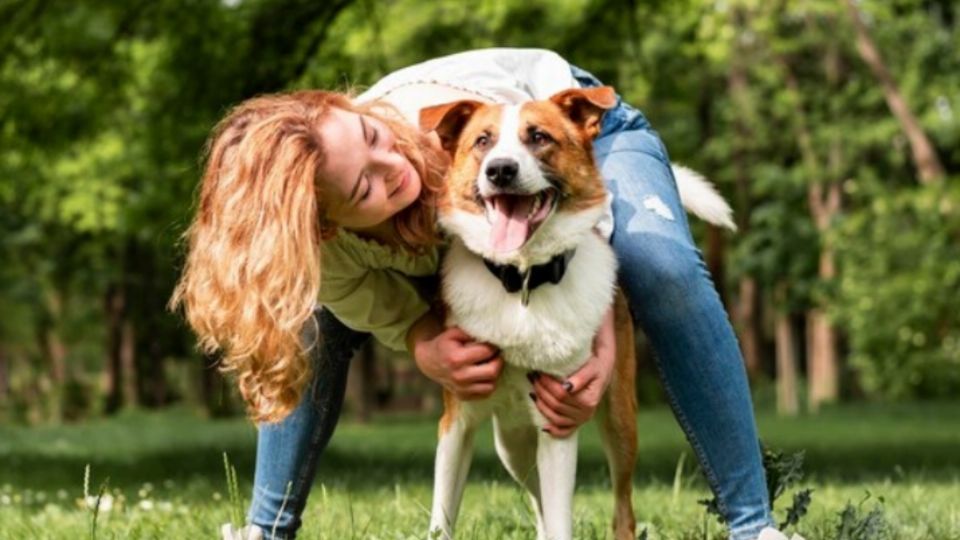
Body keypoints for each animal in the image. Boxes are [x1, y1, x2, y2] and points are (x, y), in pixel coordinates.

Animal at [420, 86, 736, 536]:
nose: (500, 170)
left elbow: (561, 520)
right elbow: (442, 519)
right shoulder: (456, 422)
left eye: (539, 137)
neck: (523, 281)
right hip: (512, 443)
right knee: (536, 501)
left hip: (619, 422)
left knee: (622, 509)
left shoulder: (559, 424)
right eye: (482, 141)